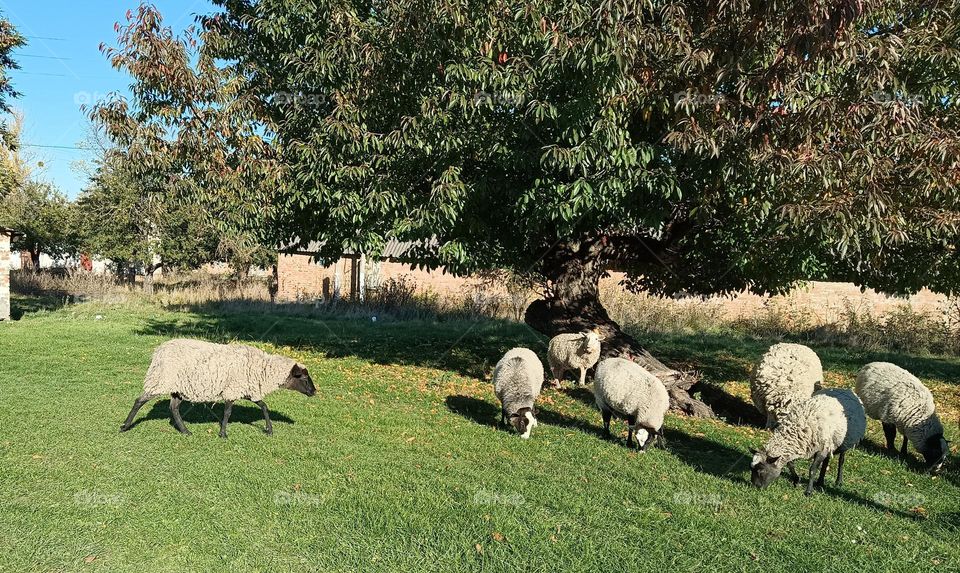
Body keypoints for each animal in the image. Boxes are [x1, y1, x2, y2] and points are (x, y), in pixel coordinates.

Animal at [120, 338, 316, 438]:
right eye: (304, 377)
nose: (314, 392)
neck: (262, 370)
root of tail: (158, 352)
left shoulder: (244, 389)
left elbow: (264, 406)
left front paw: (269, 430)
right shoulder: (233, 389)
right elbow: (228, 413)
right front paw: (223, 433)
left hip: (178, 387)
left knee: (173, 408)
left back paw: (185, 431)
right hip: (161, 380)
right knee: (140, 400)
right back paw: (125, 426)